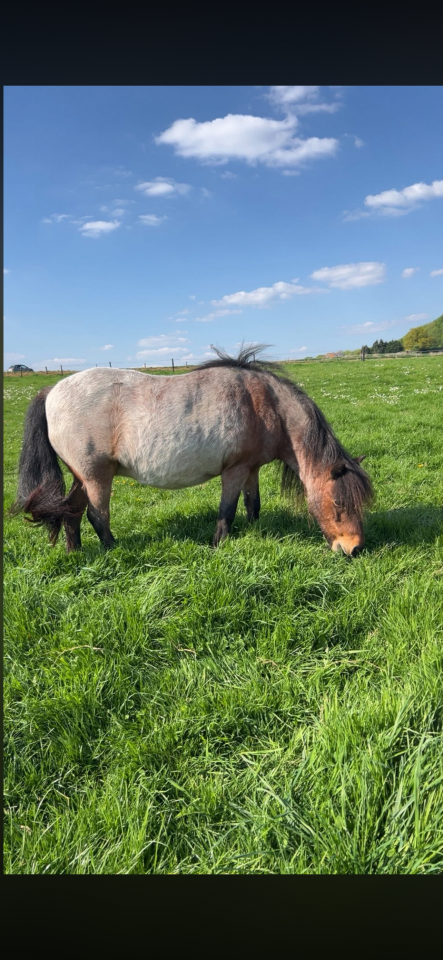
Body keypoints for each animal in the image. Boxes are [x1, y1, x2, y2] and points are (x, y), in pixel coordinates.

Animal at [12, 346, 372, 556]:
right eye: (338, 504)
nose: (354, 549)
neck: (265, 404)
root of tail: (51, 391)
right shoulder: (235, 471)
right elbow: (227, 511)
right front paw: (218, 546)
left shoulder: (251, 470)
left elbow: (252, 506)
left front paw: (255, 532)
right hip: (97, 477)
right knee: (97, 516)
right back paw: (113, 552)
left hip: (82, 477)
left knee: (71, 512)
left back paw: (75, 552)